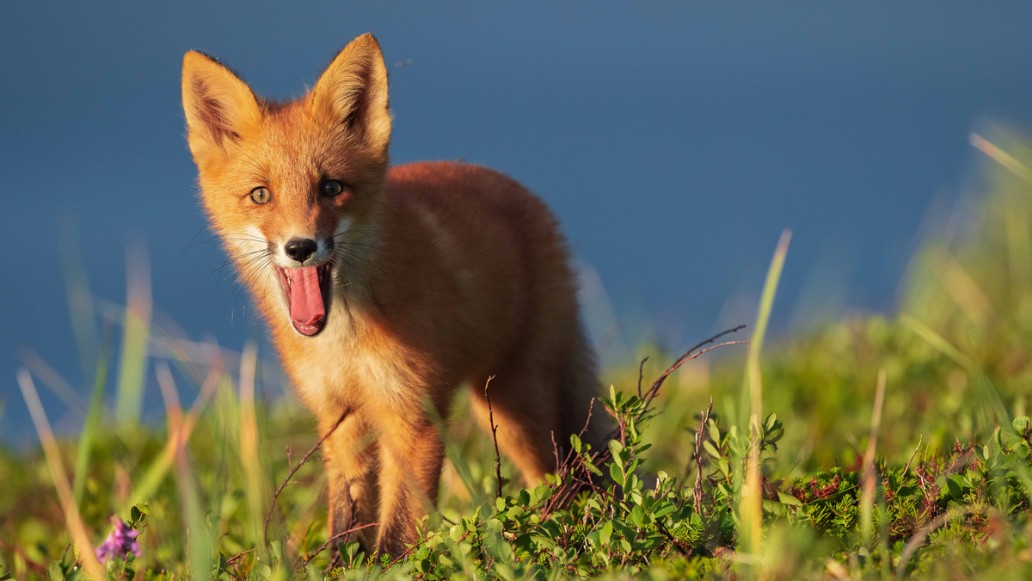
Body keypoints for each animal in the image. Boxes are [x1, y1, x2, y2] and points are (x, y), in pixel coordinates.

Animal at [181, 33, 606, 557]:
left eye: (331, 187)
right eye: (261, 195)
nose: (300, 248)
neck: (343, 338)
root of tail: (530, 198)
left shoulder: (413, 413)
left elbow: (400, 530)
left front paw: (394, 564)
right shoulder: (340, 416)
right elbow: (347, 522)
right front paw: (339, 564)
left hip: (516, 409)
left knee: (557, 477)